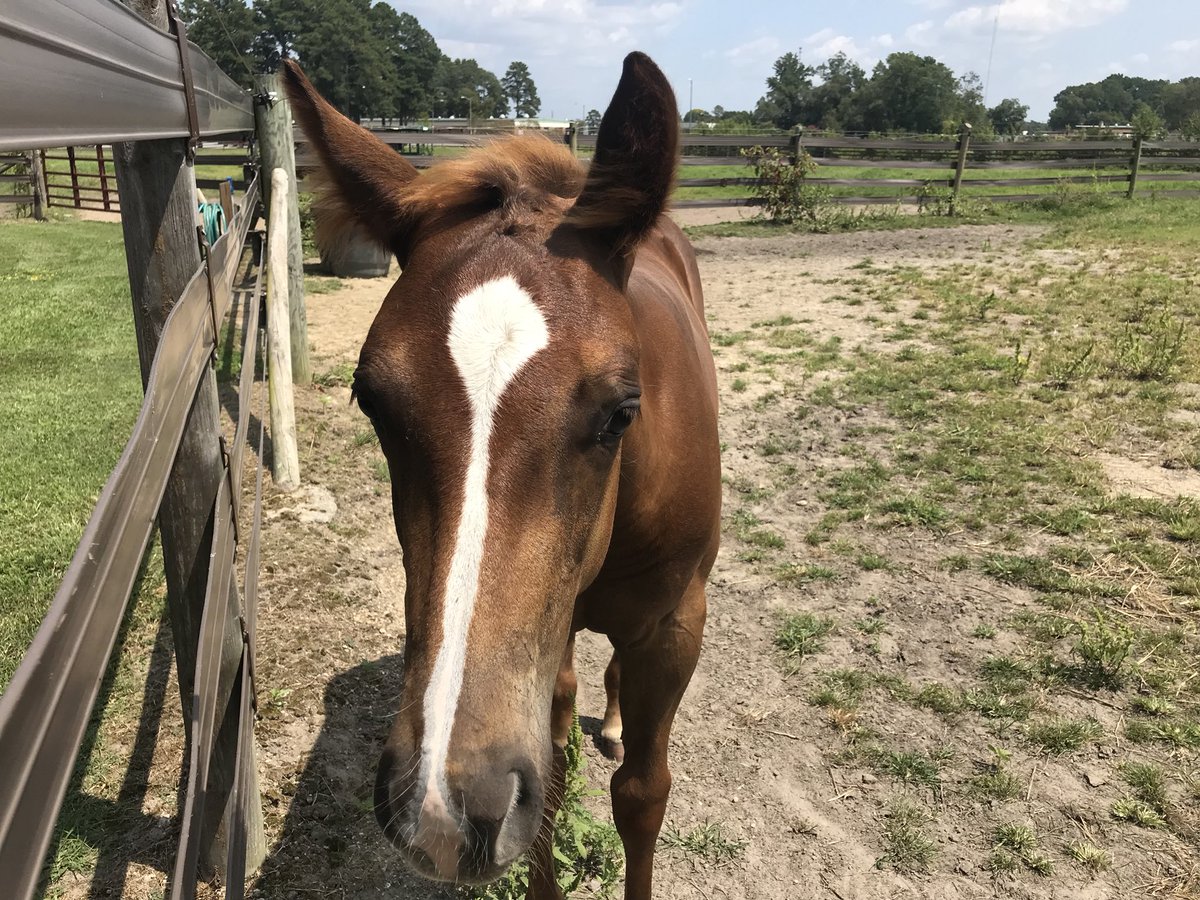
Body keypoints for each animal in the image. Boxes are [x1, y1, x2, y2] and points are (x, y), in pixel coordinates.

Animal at [288, 52, 720, 897]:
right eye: (372, 401)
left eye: (621, 412)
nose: (441, 809)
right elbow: (548, 787)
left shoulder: (675, 627)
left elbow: (643, 795)